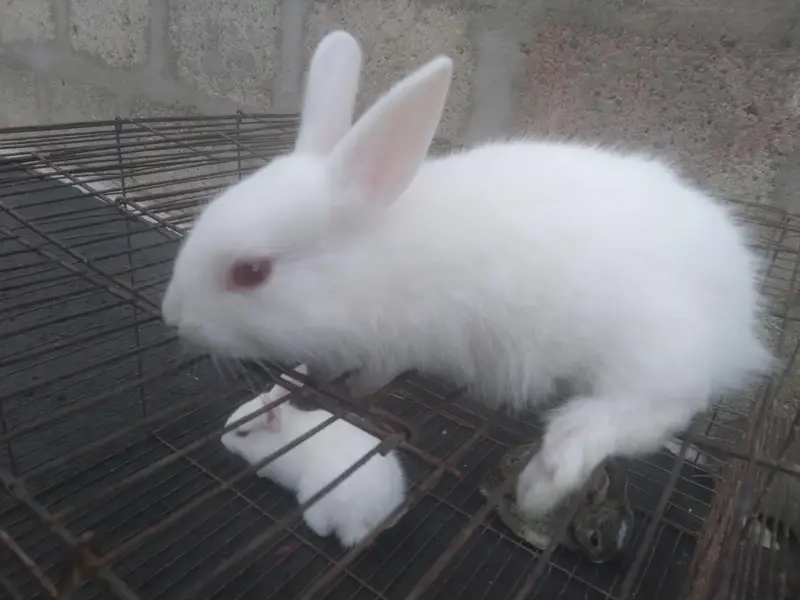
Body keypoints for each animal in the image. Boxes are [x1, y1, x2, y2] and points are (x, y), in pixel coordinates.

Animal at [162, 28, 772, 519]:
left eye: (251, 272)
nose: (173, 317)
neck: (373, 258)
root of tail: (740, 307)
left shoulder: (393, 346)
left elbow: (370, 379)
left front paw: (349, 389)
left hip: (650, 348)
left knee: (653, 411)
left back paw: (547, 476)